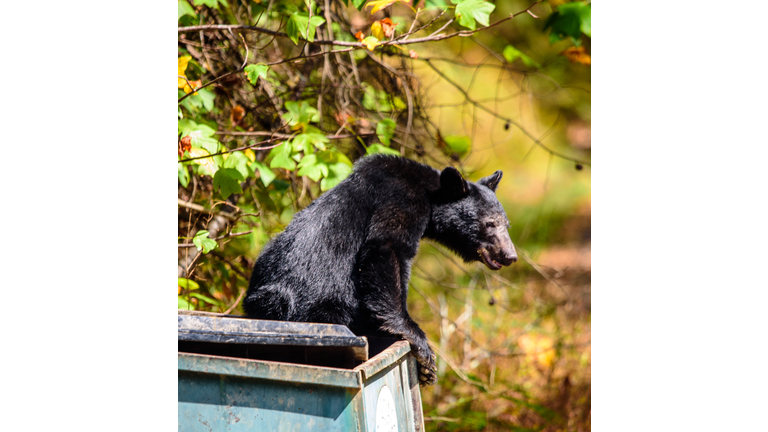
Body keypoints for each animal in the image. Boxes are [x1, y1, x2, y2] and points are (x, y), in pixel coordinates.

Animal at [246, 155, 516, 384]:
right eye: (489, 224)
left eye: (507, 224)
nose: (510, 255)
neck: (429, 196)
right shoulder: (400, 200)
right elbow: (385, 249)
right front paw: (418, 343)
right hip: (324, 305)